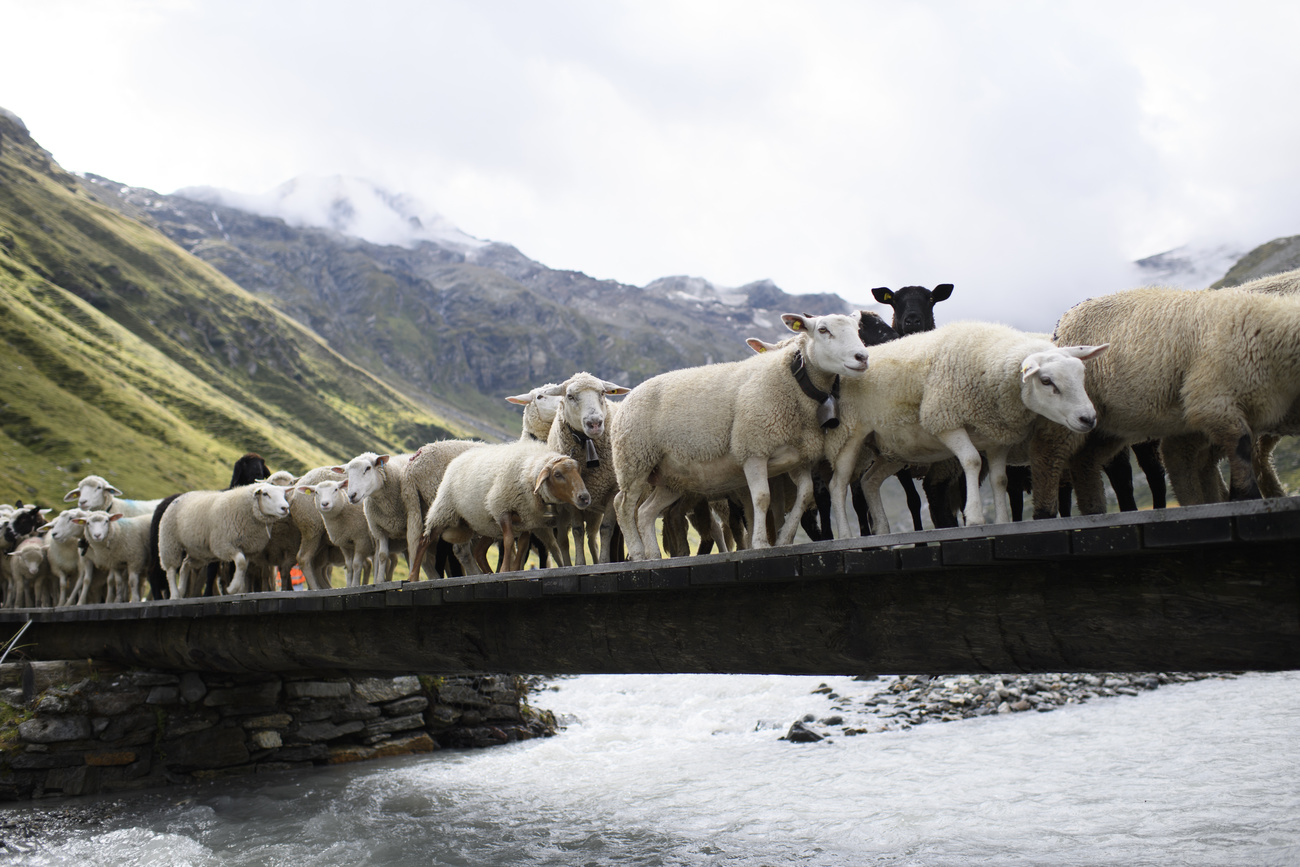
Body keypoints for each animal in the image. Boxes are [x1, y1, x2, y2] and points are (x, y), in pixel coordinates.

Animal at [157, 480, 292, 597]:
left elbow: (243, 567)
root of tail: (179, 497)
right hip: (170, 542)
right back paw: (175, 594)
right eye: (265, 494)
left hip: (199, 552)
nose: (285, 508)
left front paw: (239, 589)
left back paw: (181, 589)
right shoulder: (223, 545)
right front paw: (232, 588)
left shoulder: (247, 548)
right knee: (171, 570)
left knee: (185, 565)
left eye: (283, 494)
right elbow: (241, 562)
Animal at [410, 441, 595, 577]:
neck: (527, 474)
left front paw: (514, 570)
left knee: (479, 551)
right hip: (444, 511)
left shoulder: (527, 520)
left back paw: (489, 573)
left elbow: (522, 546)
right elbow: (508, 541)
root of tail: (458, 459)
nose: (584, 497)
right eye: (557, 474)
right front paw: (506, 570)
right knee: (424, 541)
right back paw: (413, 577)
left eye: (579, 471)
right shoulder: (501, 508)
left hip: (486, 525)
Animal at [608, 311, 873, 564]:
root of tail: (631, 394)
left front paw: (784, 539)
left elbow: (805, 494)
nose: (862, 357)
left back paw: (652, 554)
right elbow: (762, 498)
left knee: (645, 511)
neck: (794, 384)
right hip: (634, 458)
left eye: (857, 329)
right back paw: (638, 553)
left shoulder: (799, 458)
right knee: (623, 505)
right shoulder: (753, 449)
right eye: (823, 330)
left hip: (671, 479)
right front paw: (761, 544)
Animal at [832, 322, 1107, 532]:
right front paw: (974, 518)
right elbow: (972, 461)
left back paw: (882, 529)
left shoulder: (998, 436)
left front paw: (1002, 520)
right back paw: (846, 535)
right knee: (839, 484)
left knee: (869, 481)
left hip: (895, 449)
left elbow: (1000, 479)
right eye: (1047, 381)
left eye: (1082, 374)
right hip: (850, 433)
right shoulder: (944, 419)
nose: (1088, 418)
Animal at [1034, 284, 1300, 514]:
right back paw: (1048, 512)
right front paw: (1246, 497)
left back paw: (1095, 510)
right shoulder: (1212, 399)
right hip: (1069, 411)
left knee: (1086, 462)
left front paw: (1238, 494)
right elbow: (1241, 445)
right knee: (1051, 457)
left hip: (1108, 425)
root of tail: (1066, 319)